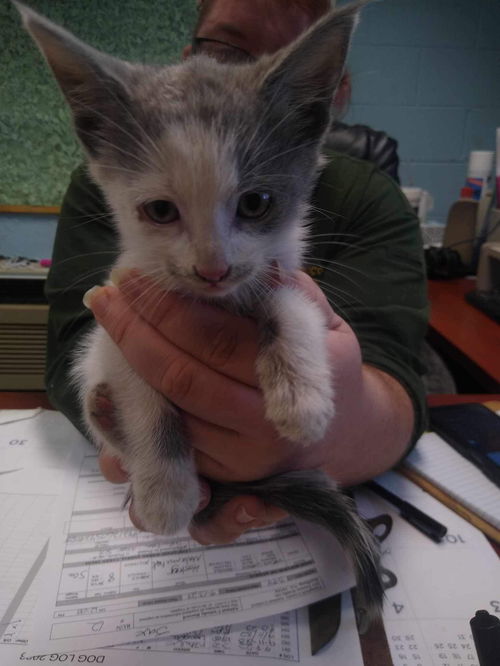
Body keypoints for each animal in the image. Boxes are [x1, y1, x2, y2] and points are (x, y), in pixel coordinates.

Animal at [15, 0, 382, 616]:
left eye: (256, 203)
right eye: (161, 211)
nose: (213, 268)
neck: (215, 301)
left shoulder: (287, 272)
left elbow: (291, 304)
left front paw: (302, 398)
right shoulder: (121, 323)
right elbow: (145, 396)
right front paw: (167, 491)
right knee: (101, 403)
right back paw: (110, 419)